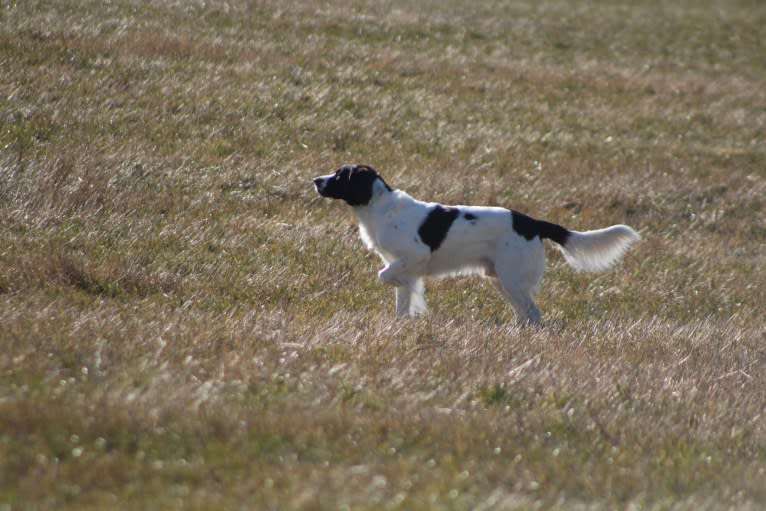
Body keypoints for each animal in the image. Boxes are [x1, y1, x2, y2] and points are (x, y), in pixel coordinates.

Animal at [312, 164, 640, 324]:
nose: (316, 180)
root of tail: (532, 223)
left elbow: (387, 278)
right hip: (501, 280)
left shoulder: (413, 256)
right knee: (525, 314)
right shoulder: (400, 262)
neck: (380, 207)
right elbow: (401, 299)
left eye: (340, 175)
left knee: (534, 314)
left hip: (511, 279)